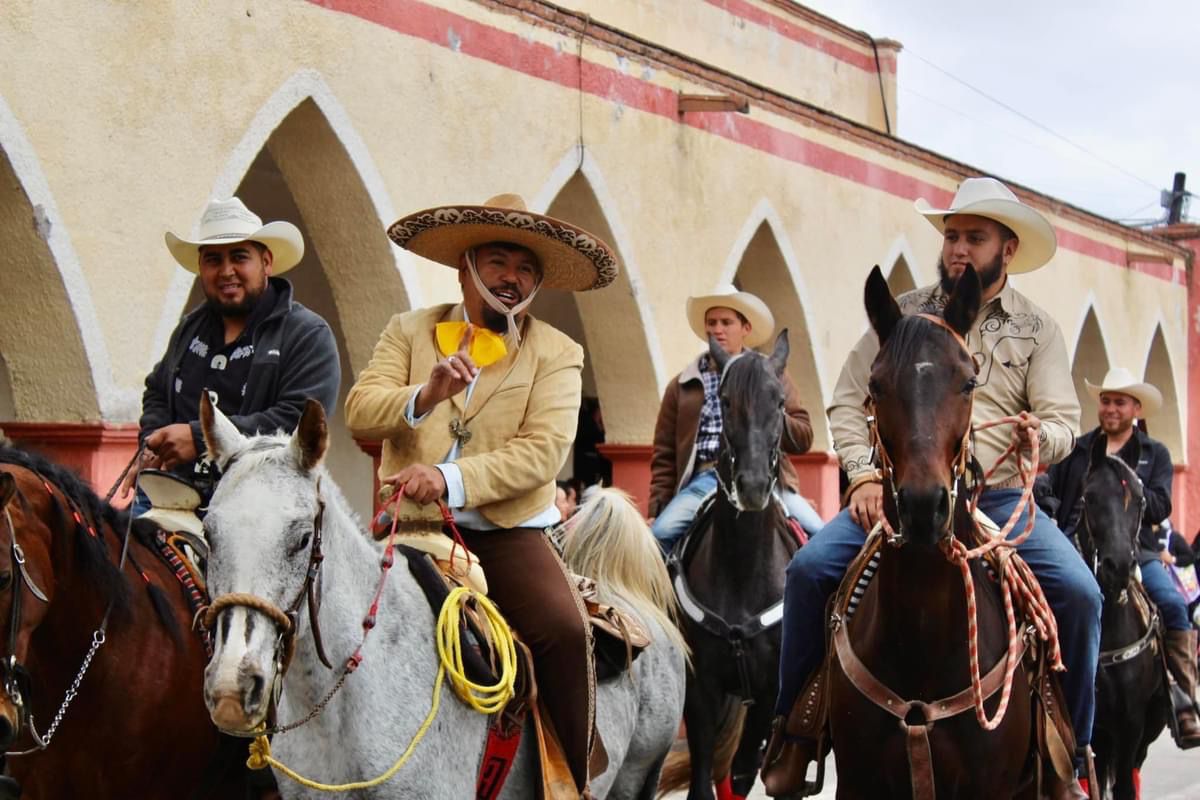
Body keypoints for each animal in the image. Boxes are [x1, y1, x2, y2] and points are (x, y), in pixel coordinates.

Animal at [658, 330, 802, 800]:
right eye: (724, 399)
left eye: (779, 400)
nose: (753, 485)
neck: (741, 571)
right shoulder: (702, 689)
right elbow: (706, 776)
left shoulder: (769, 692)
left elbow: (742, 772)